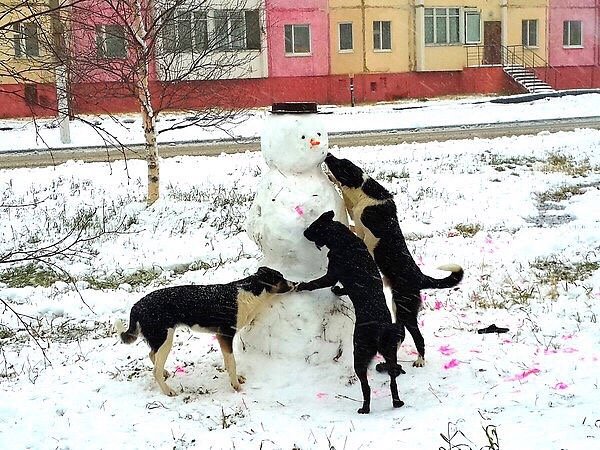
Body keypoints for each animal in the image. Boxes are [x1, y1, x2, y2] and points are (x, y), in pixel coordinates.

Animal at [113, 268, 296, 398]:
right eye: (281, 278)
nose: (295, 283)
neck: (250, 292)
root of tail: (136, 306)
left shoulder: (222, 339)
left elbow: (228, 361)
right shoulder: (225, 335)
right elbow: (232, 363)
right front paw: (235, 384)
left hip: (161, 338)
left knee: (153, 355)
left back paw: (164, 372)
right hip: (165, 338)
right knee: (155, 369)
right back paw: (167, 390)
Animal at [296, 211, 404, 414]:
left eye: (313, 227)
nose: (304, 232)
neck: (343, 239)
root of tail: (380, 330)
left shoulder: (331, 274)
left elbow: (316, 283)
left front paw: (302, 286)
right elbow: (343, 289)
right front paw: (338, 291)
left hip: (359, 356)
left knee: (366, 386)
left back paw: (365, 408)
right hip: (390, 352)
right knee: (393, 380)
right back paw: (396, 402)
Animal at [324, 153, 464, 370]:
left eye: (341, 164)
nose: (329, 155)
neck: (364, 193)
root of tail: (420, 277)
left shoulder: (367, 232)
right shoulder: (356, 217)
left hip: (405, 310)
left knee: (418, 337)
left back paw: (420, 360)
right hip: (399, 309)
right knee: (402, 334)